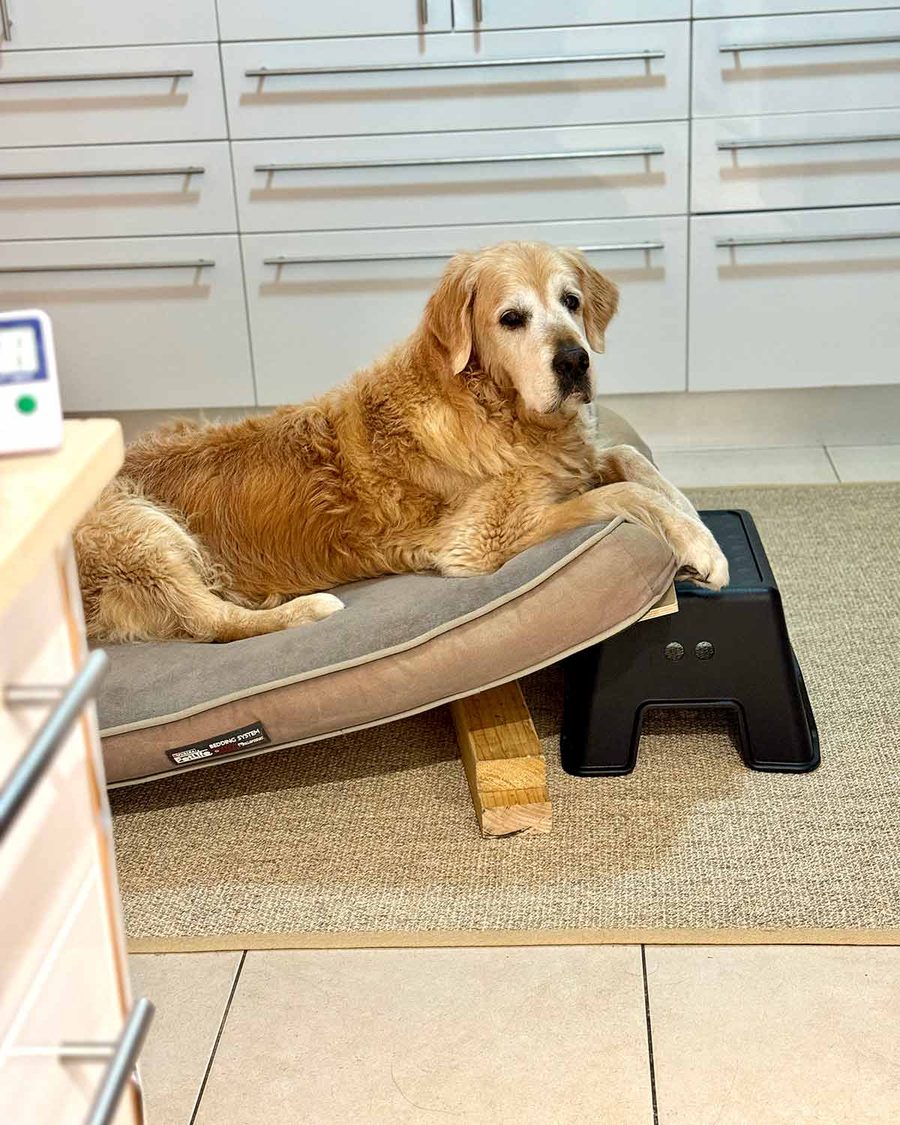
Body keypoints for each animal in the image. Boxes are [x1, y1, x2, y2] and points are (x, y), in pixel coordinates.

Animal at [75, 241, 728, 643]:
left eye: (571, 301)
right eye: (511, 318)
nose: (574, 361)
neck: (498, 410)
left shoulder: (580, 459)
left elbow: (631, 461)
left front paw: (697, 519)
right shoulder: (477, 544)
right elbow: (624, 496)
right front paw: (703, 550)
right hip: (140, 528)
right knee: (211, 623)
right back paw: (302, 609)